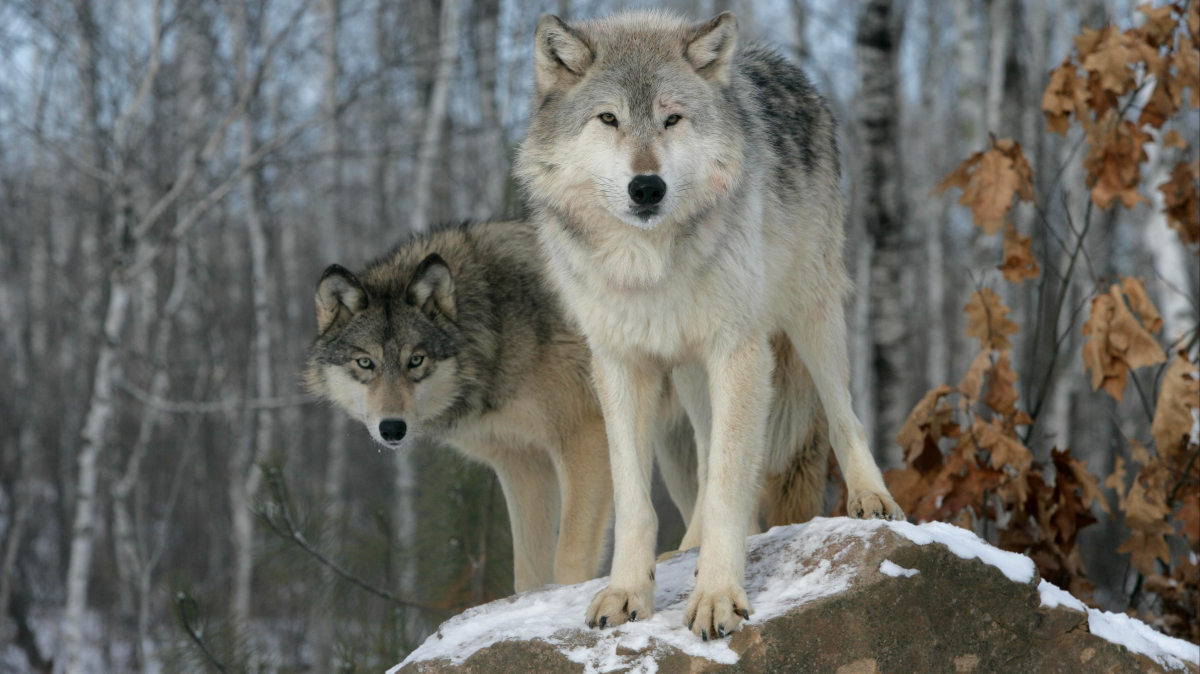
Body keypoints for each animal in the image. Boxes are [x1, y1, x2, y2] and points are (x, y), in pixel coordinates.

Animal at [513, 10, 902, 638]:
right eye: (608, 118)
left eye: (672, 118)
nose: (647, 187)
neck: (646, 263)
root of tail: (783, 66)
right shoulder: (619, 364)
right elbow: (637, 500)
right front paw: (627, 592)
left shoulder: (738, 351)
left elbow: (726, 485)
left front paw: (718, 595)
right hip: (691, 371)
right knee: (703, 444)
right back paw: (687, 547)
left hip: (810, 314)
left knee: (843, 415)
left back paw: (871, 498)